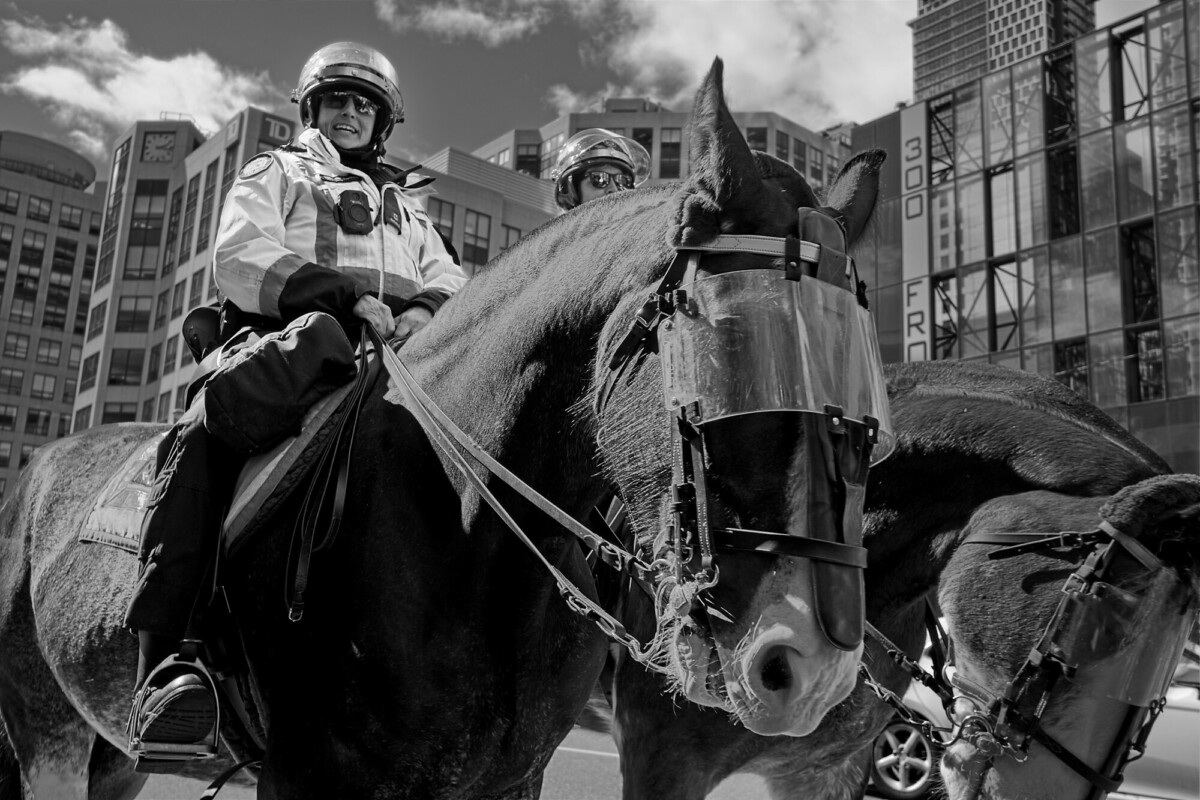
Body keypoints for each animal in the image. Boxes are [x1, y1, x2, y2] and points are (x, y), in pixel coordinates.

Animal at [0, 61, 883, 800]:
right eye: (731, 342)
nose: (809, 668)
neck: (457, 527)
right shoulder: (308, 778)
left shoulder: (506, 780)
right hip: (44, 735)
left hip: (111, 754)